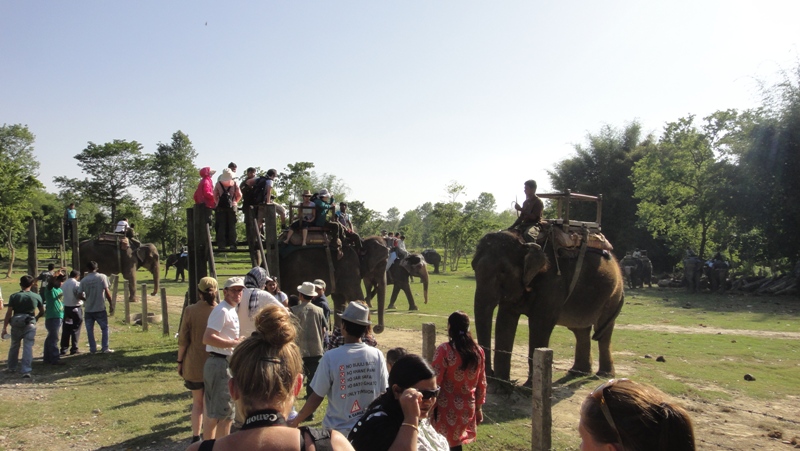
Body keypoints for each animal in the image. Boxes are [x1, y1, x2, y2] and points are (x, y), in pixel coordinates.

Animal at [472, 229, 625, 387]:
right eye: (473, 266)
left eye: (503, 271)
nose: (490, 374)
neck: (523, 240)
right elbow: (505, 321)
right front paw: (502, 383)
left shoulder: (553, 283)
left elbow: (540, 324)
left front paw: (527, 387)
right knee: (580, 330)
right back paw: (577, 372)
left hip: (613, 295)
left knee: (604, 331)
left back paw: (604, 374)